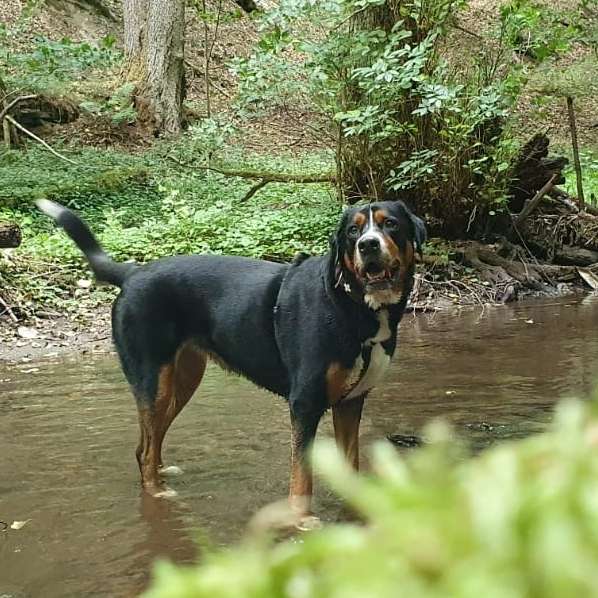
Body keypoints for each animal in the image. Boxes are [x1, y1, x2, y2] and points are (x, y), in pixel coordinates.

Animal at [36, 198, 426, 524]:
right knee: (144, 450)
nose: (368, 245)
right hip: (153, 381)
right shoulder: (305, 404)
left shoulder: (351, 402)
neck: (352, 306)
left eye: (390, 224)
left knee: (148, 442)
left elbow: (351, 466)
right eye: (352, 231)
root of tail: (133, 273)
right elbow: (301, 476)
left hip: (181, 382)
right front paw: (301, 521)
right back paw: (158, 491)